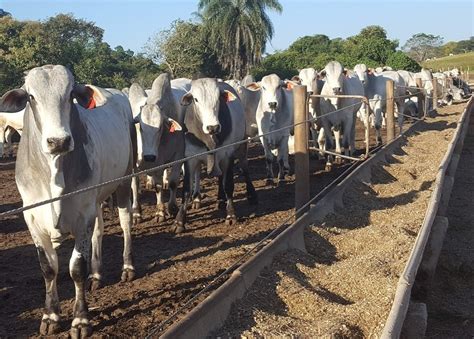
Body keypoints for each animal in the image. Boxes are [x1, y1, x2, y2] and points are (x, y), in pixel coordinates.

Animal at [0, 65, 137, 338]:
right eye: (31, 96)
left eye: (71, 94)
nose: (59, 141)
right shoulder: (32, 217)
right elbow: (48, 267)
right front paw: (51, 316)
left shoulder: (82, 214)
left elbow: (76, 268)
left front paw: (81, 320)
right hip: (96, 198)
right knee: (99, 231)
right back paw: (97, 275)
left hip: (124, 181)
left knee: (125, 222)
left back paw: (127, 267)